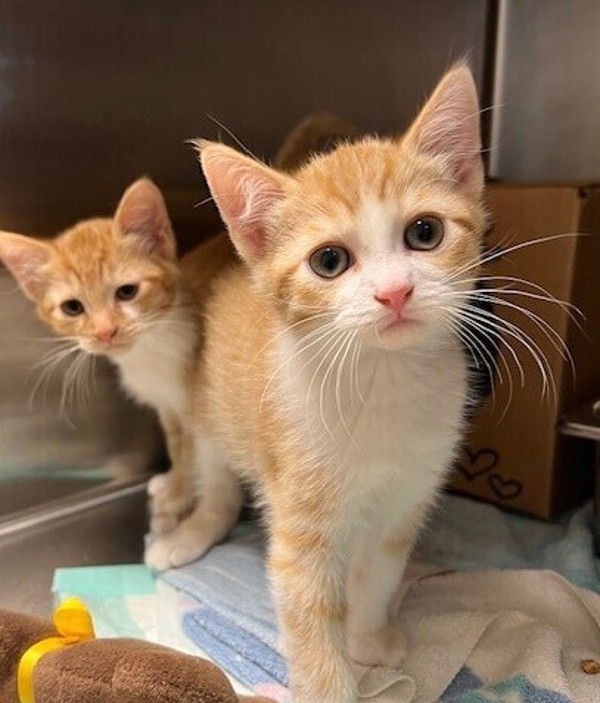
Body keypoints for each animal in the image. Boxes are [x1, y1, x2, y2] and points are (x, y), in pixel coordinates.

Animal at [145, 63, 488, 700]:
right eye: (329, 262)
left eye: (425, 232)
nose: (395, 292)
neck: (383, 383)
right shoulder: (302, 523)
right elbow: (307, 613)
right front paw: (331, 678)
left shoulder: (404, 497)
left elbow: (379, 572)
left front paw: (370, 637)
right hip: (214, 419)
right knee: (218, 485)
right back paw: (186, 536)